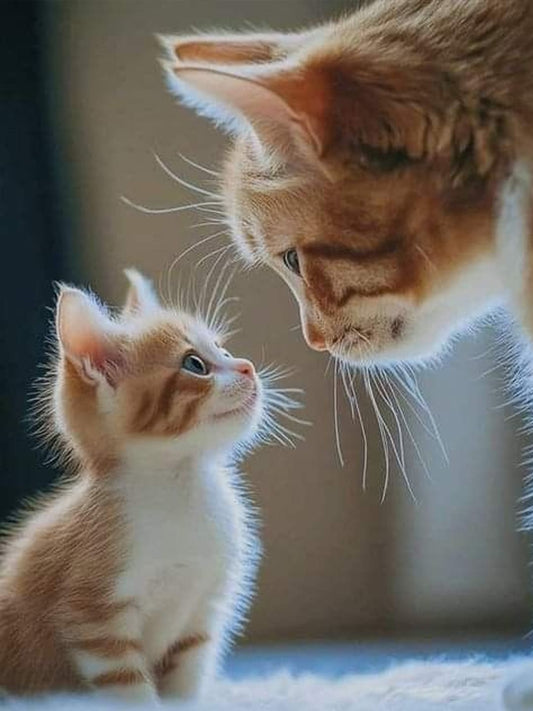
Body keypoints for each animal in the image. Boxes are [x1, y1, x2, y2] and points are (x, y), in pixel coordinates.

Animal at [1, 270, 290, 700]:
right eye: (194, 364)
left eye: (222, 348)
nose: (247, 367)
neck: (182, 487)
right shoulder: (94, 619)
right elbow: (131, 690)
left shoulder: (199, 617)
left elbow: (185, 688)